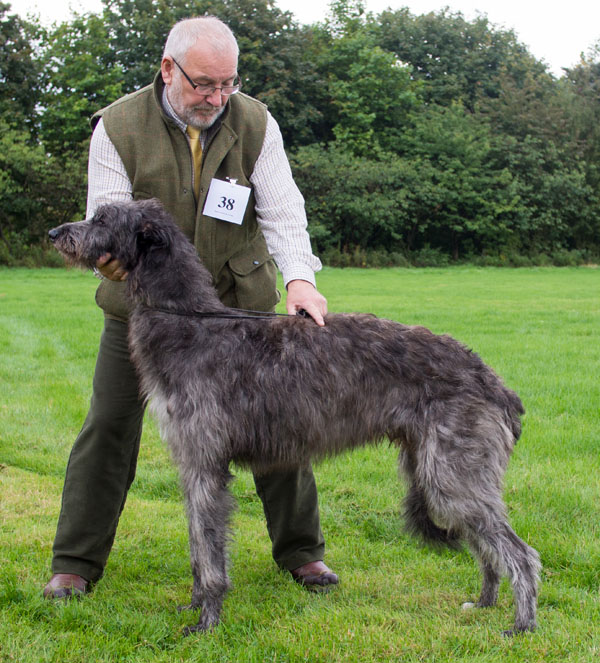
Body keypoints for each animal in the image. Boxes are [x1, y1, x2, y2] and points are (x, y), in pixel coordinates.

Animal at [49, 200, 540, 636]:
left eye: (102, 218)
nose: (55, 234)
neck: (192, 321)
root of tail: (494, 382)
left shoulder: (205, 464)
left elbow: (209, 553)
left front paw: (206, 622)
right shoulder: (192, 464)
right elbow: (198, 545)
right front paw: (194, 604)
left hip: (452, 473)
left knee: (520, 553)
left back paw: (522, 624)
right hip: (446, 474)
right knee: (487, 546)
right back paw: (484, 601)